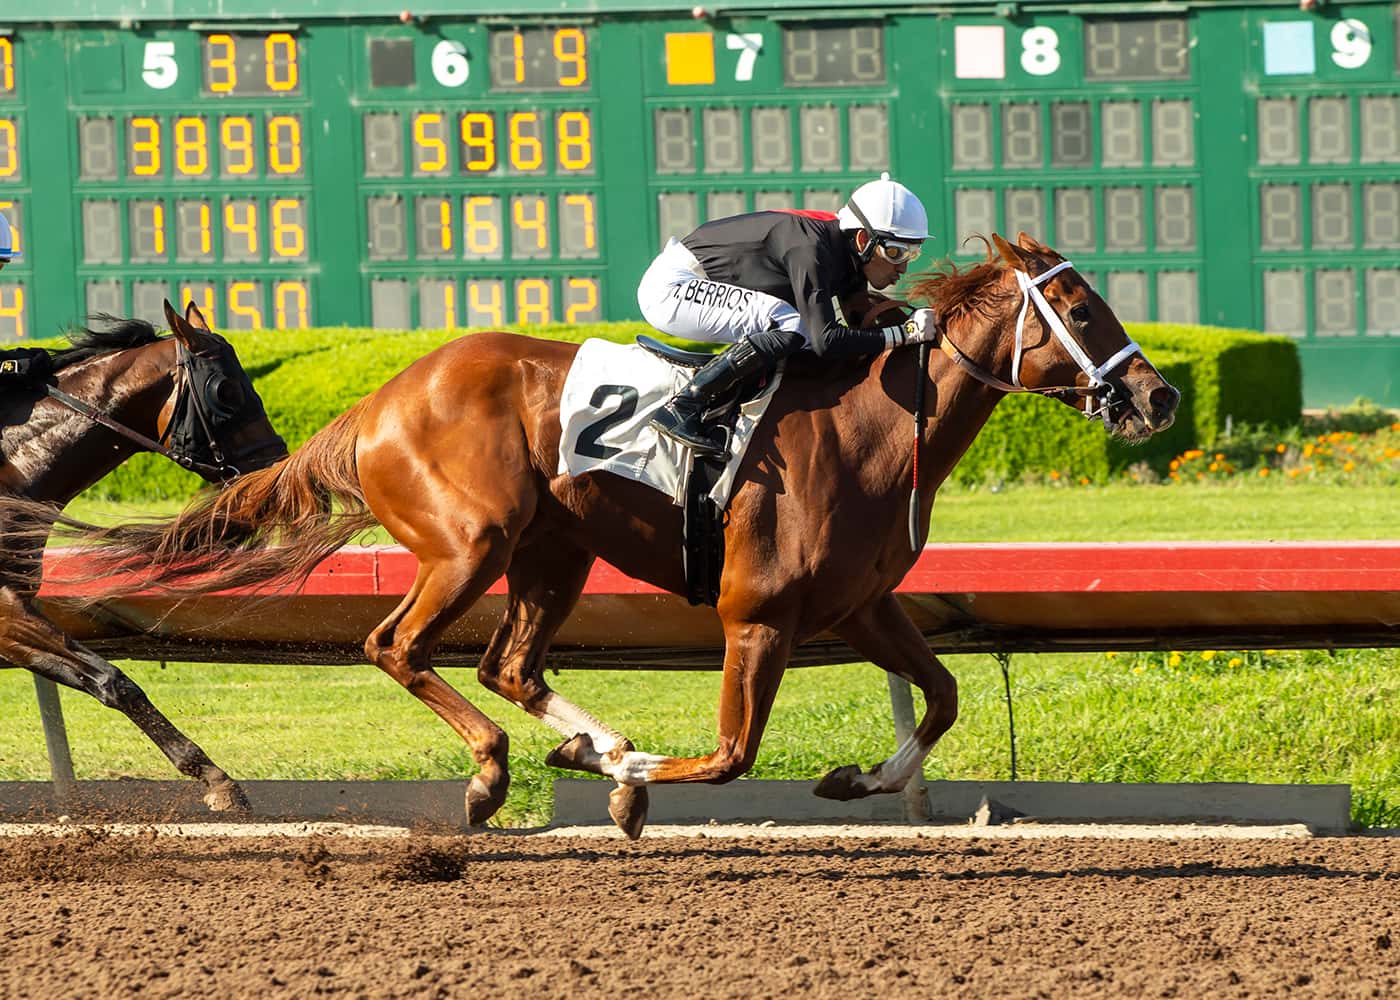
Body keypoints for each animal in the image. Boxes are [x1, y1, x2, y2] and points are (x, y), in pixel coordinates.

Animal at [0, 302, 287, 812]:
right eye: (225, 390)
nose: (273, 469)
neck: (9, 467)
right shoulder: (5, 611)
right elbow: (115, 680)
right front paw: (217, 780)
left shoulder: (16, 608)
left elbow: (96, 678)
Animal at [38, 233, 1176, 834]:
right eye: (1080, 307)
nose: (1159, 396)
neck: (870, 425)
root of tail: (378, 403)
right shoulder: (757, 614)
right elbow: (729, 755)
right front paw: (627, 792)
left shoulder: (859, 605)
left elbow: (939, 698)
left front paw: (859, 779)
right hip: (472, 542)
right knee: (397, 646)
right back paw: (499, 772)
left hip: (556, 549)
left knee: (507, 664)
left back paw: (593, 739)